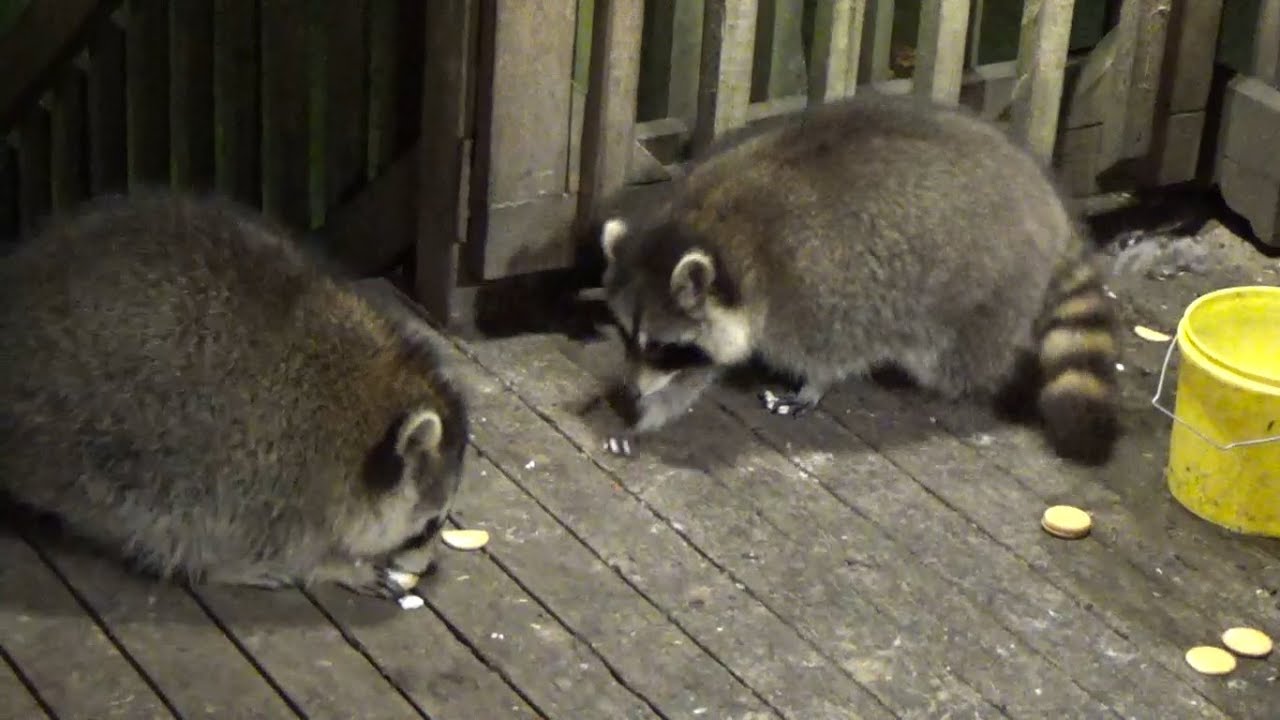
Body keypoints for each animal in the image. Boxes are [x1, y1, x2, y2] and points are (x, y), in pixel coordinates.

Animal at [0, 190, 469, 599]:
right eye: (429, 526)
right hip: (91, 440)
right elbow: (287, 544)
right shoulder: (285, 486)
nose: (431, 566)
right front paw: (336, 566)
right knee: (159, 515)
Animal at [599, 92, 1119, 465]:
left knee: (960, 358)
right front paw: (645, 418)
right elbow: (697, 373)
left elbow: (828, 351)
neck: (706, 229)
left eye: (660, 346)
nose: (629, 392)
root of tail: (1049, 201)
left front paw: (813, 387)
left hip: (985, 285)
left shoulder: (806, 290)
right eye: (626, 335)